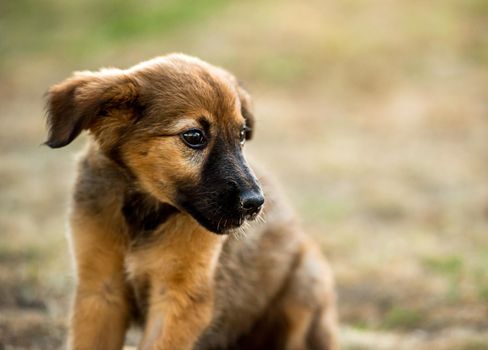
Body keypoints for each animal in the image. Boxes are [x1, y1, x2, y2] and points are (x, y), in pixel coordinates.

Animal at [43, 54, 338, 350]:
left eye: (242, 135)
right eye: (194, 136)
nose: (256, 203)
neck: (143, 213)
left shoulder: (181, 299)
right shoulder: (100, 290)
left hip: (306, 282)